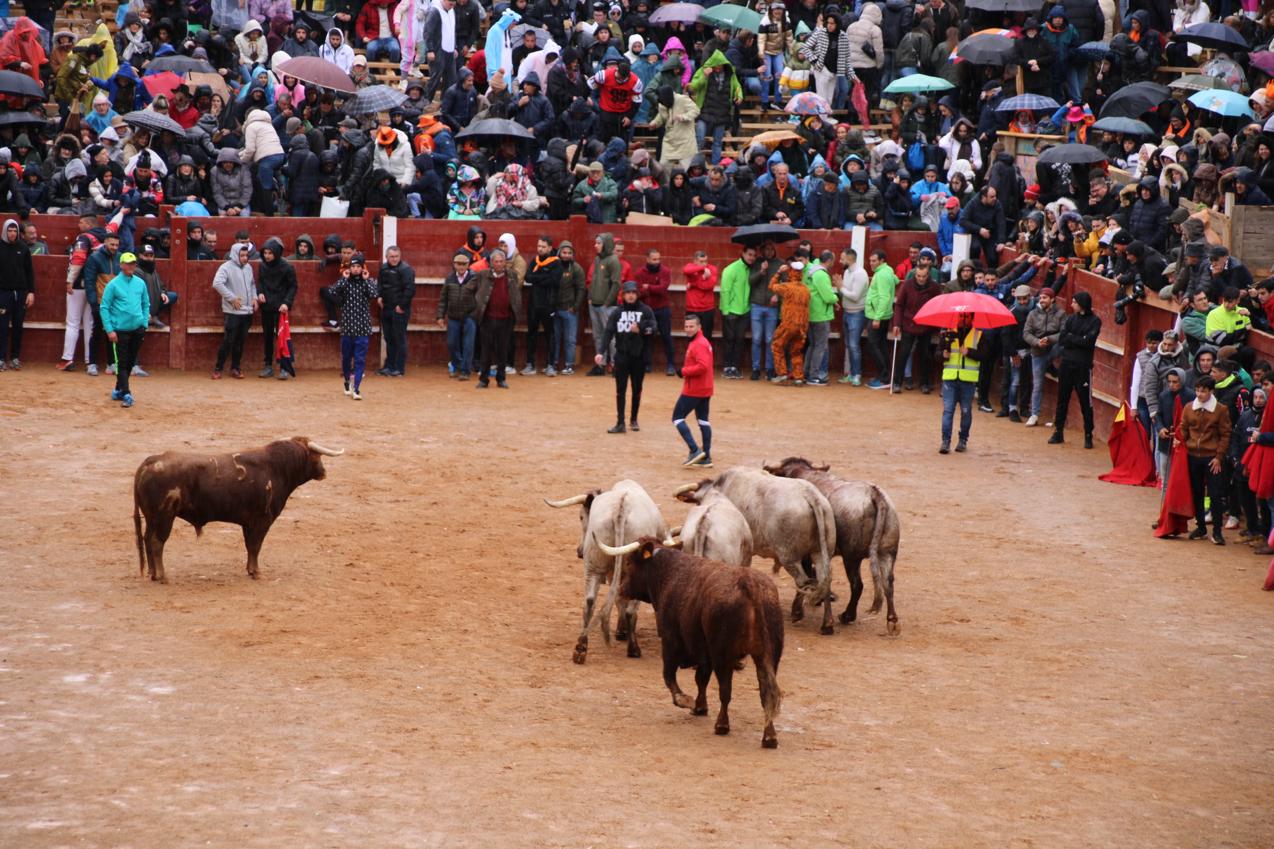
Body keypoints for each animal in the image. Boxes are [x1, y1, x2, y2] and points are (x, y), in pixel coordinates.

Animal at [130, 435, 343, 581]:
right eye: (316, 456)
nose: (324, 472)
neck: (277, 468)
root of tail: (149, 462)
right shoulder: (262, 521)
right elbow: (256, 546)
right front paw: (257, 573)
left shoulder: (248, 523)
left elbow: (250, 546)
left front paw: (250, 570)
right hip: (164, 517)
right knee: (157, 542)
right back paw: (162, 576)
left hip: (151, 518)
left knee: (147, 539)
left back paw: (152, 573)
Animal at [545, 476, 672, 662]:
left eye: (581, 516)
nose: (579, 551)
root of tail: (620, 509)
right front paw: (622, 631)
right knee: (629, 609)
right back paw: (633, 648)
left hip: (594, 566)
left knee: (590, 601)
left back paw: (581, 647)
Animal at [601, 535, 779, 749]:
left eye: (628, 562)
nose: (621, 589)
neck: (667, 571)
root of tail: (749, 584)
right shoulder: (703, 651)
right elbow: (701, 679)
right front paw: (700, 707)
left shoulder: (671, 641)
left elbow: (669, 675)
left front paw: (684, 700)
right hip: (768, 656)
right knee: (766, 692)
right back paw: (769, 736)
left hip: (723, 655)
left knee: (726, 690)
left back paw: (722, 725)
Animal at [672, 466, 840, 632]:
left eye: (697, 501)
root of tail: (811, 496)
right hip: (820, 552)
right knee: (825, 578)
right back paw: (827, 624)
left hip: (789, 557)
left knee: (802, 580)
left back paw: (797, 612)